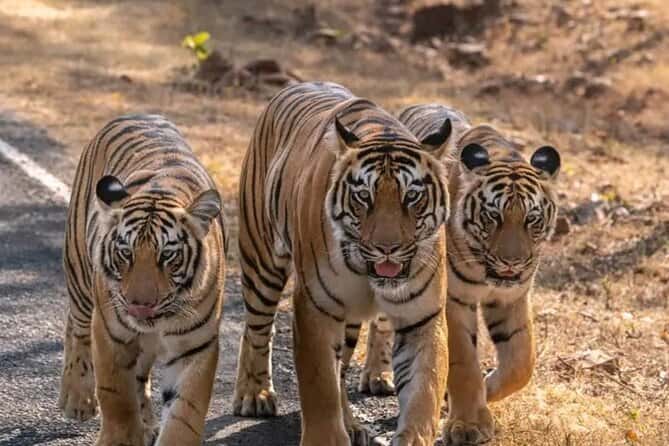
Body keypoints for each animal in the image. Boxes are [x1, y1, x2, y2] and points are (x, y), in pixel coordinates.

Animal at [58, 114, 226, 446]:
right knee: (76, 328)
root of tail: (137, 114)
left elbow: (185, 413)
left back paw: (147, 424)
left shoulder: (196, 347)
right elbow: (116, 395)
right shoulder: (111, 334)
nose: (140, 304)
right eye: (126, 252)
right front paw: (120, 438)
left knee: (140, 376)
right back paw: (77, 399)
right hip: (80, 275)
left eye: (168, 256)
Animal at [233, 82, 453, 446]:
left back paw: (350, 424)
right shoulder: (315, 309)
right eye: (364, 196)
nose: (387, 248)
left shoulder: (421, 317)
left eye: (412, 196)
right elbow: (320, 385)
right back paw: (254, 395)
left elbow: (425, 390)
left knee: (341, 367)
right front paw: (325, 436)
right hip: (261, 261)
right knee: (257, 329)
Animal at [356, 104, 561, 445]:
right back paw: (376, 376)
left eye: (532, 219)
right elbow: (464, 361)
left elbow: (521, 362)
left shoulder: (512, 298)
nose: (513, 263)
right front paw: (468, 424)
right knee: (381, 323)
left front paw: (486, 391)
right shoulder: (453, 300)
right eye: (493, 216)